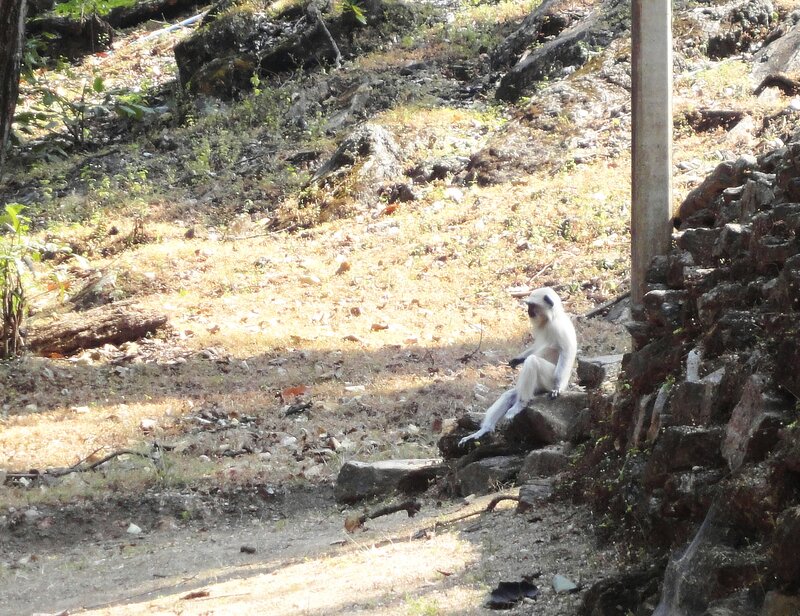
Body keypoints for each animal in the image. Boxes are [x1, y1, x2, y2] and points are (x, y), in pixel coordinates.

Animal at [459, 287, 578, 447]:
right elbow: (535, 347)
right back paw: (484, 430)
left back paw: (520, 404)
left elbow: (566, 352)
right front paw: (516, 360)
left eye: (532, 306)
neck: (552, 318)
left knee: (533, 362)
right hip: (537, 387)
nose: (528, 311)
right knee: (510, 394)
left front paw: (557, 388)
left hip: (548, 381)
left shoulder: (558, 328)